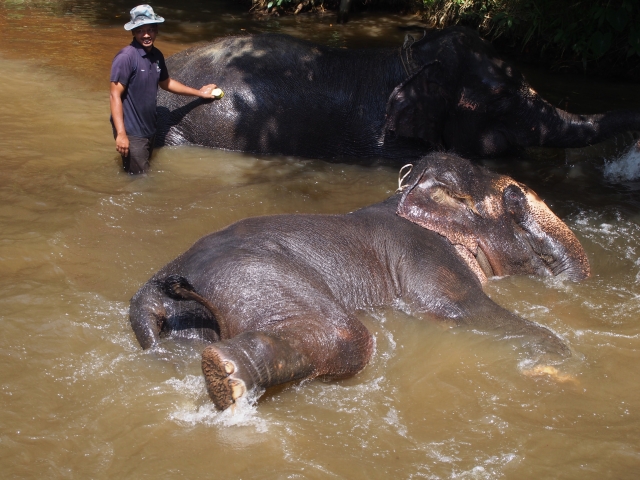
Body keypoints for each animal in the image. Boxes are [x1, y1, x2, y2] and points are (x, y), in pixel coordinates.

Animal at [129, 153, 592, 408]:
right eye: (516, 198)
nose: (516, 193)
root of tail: (151, 291)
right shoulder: (425, 255)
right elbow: (460, 309)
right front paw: (562, 365)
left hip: (188, 322)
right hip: (252, 274)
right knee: (345, 335)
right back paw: (226, 379)